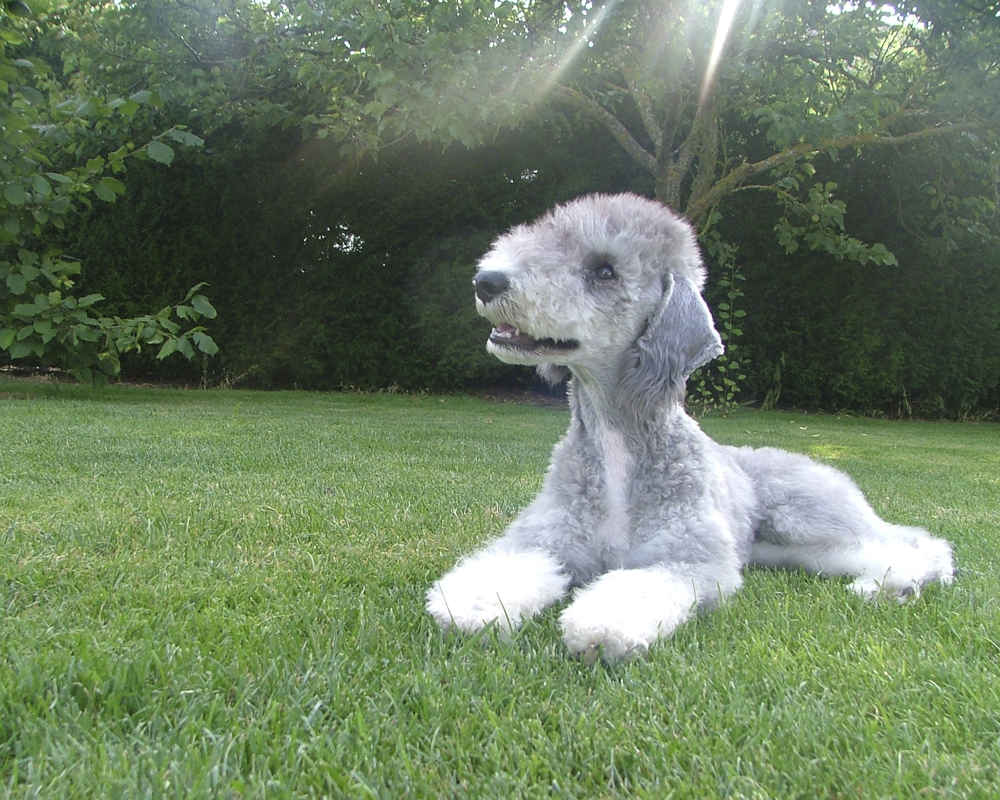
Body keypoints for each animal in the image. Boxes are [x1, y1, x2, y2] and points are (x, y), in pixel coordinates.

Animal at [426, 193, 954, 661]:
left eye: (605, 270)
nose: (487, 281)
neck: (618, 441)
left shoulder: (688, 557)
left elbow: (637, 587)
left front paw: (601, 626)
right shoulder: (544, 539)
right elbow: (506, 567)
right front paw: (473, 606)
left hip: (808, 517)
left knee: (917, 543)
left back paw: (893, 585)